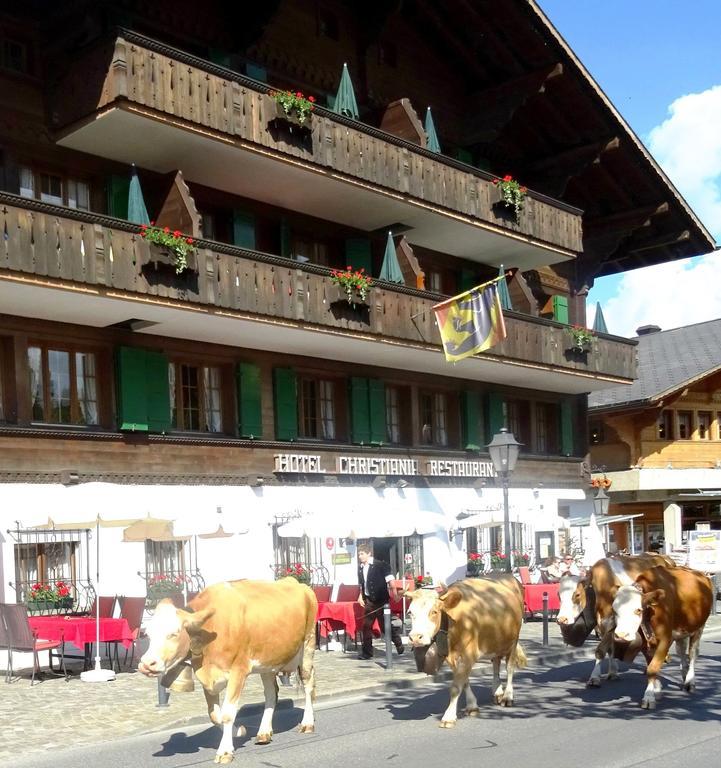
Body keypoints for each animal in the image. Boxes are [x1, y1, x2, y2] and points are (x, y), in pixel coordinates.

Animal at [138, 584, 316, 760]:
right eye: (148, 634)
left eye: (173, 633)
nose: (146, 664)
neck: (210, 630)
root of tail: (298, 584)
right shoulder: (207, 676)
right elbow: (215, 715)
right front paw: (239, 731)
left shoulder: (239, 671)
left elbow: (227, 713)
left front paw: (225, 751)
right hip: (267, 663)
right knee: (272, 693)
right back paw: (264, 732)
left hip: (307, 647)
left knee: (308, 685)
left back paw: (307, 723)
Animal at [408, 572, 524, 728]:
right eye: (410, 612)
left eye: (434, 612)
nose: (415, 637)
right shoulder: (453, 657)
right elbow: (464, 681)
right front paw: (472, 706)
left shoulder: (469, 654)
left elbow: (456, 687)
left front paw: (449, 717)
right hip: (496, 640)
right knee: (496, 663)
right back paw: (498, 692)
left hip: (513, 639)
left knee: (510, 668)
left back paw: (507, 697)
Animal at [556, 556, 672, 688]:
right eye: (559, 595)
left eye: (577, 594)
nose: (561, 619)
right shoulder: (603, 626)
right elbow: (609, 649)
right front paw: (612, 672)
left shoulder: (612, 624)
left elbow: (600, 651)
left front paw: (594, 677)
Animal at [612, 564, 712, 708]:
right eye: (614, 610)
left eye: (638, 610)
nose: (621, 635)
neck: (650, 611)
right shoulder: (645, 644)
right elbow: (651, 665)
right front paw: (657, 690)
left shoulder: (665, 639)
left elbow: (652, 669)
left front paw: (649, 697)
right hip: (682, 631)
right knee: (681, 651)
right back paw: (684, 674)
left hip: (698, 628)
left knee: (692, 654)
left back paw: (690, 681)